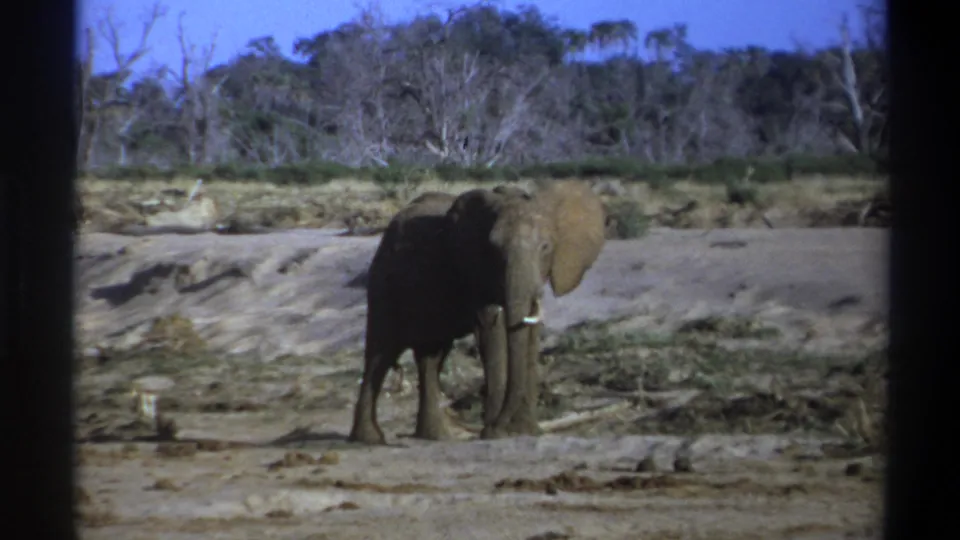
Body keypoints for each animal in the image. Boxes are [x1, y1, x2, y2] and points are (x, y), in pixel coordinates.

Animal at [347, 181, 606, 445]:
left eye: (546, 247)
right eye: (494, 249)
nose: (500, 426)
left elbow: (531, 332)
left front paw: (528, 431)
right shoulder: (475, 273)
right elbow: (491, 331)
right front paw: (496, 434)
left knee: (430, 355)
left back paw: (437, 437)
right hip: (383, 282)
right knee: (380, 352)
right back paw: (369, 439)